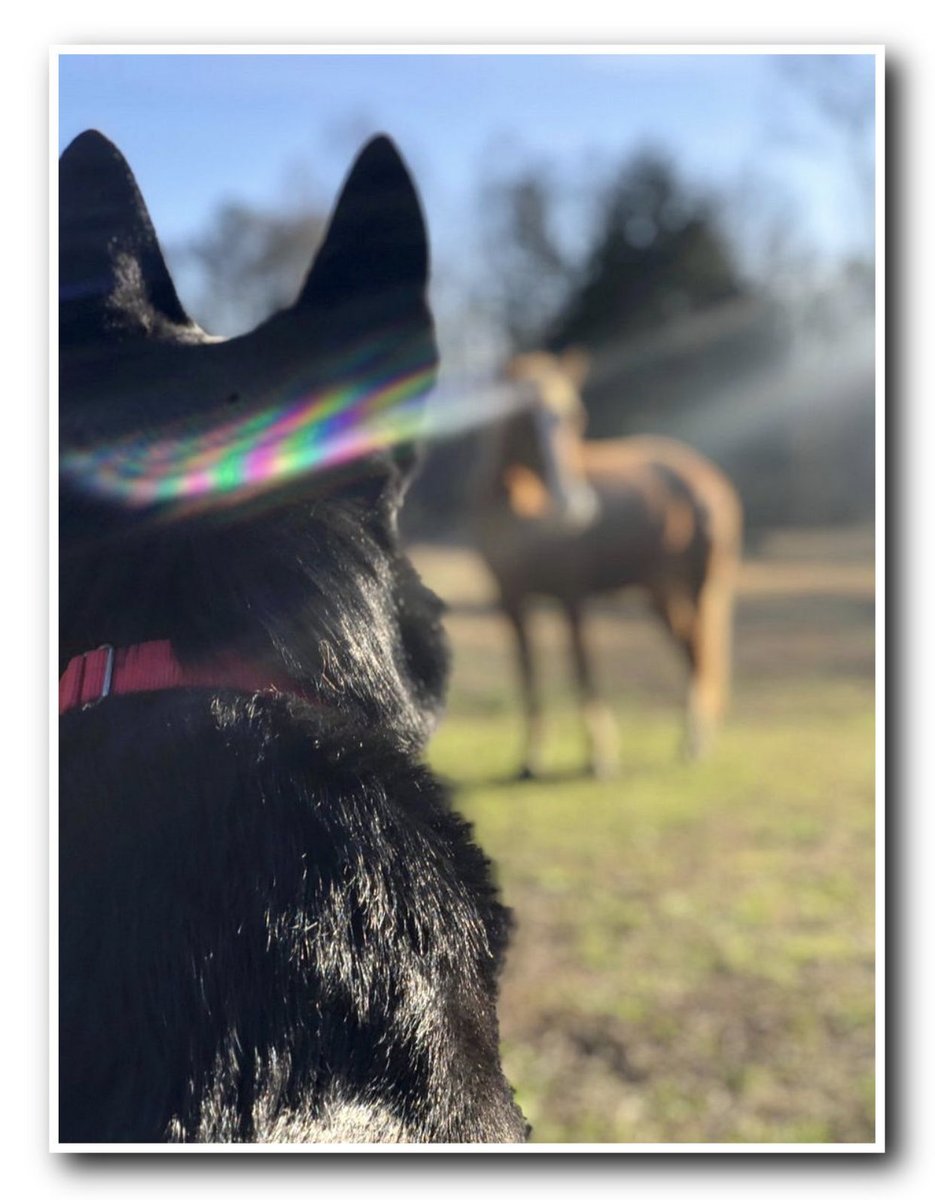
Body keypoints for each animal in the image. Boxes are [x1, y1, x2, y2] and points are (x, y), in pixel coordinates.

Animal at [471, 350, 743, 776]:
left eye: (575, 416)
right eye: (523, 419)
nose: (574, 506)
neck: (520, 512)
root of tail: (708, 477)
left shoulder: (571, 596)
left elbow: (583, 670)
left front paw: (599, 755)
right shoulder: (509, 599)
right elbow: (528, 673)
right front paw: (532, 757)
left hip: (699, 587)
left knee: (698, 650)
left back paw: (694, 739)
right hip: (660, 593)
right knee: (691, 647)